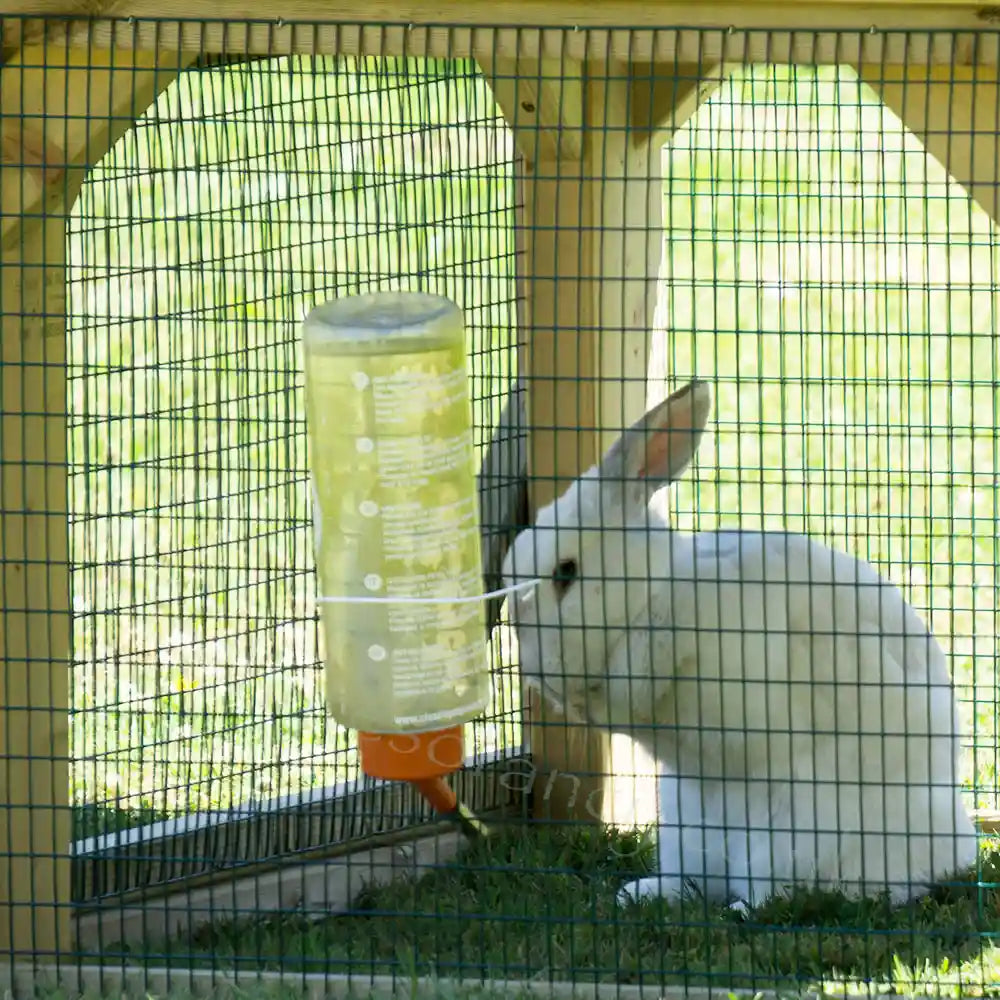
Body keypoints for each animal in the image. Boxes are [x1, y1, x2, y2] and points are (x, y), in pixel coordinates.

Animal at [500, 378, 976, 912]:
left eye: (566, 572)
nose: (538, 669)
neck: (650, 596)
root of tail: (951, 843)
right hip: (688, 826)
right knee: (696, 882)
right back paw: (639, 893)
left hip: (788, 835)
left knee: (778, 894)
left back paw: (742, 908)